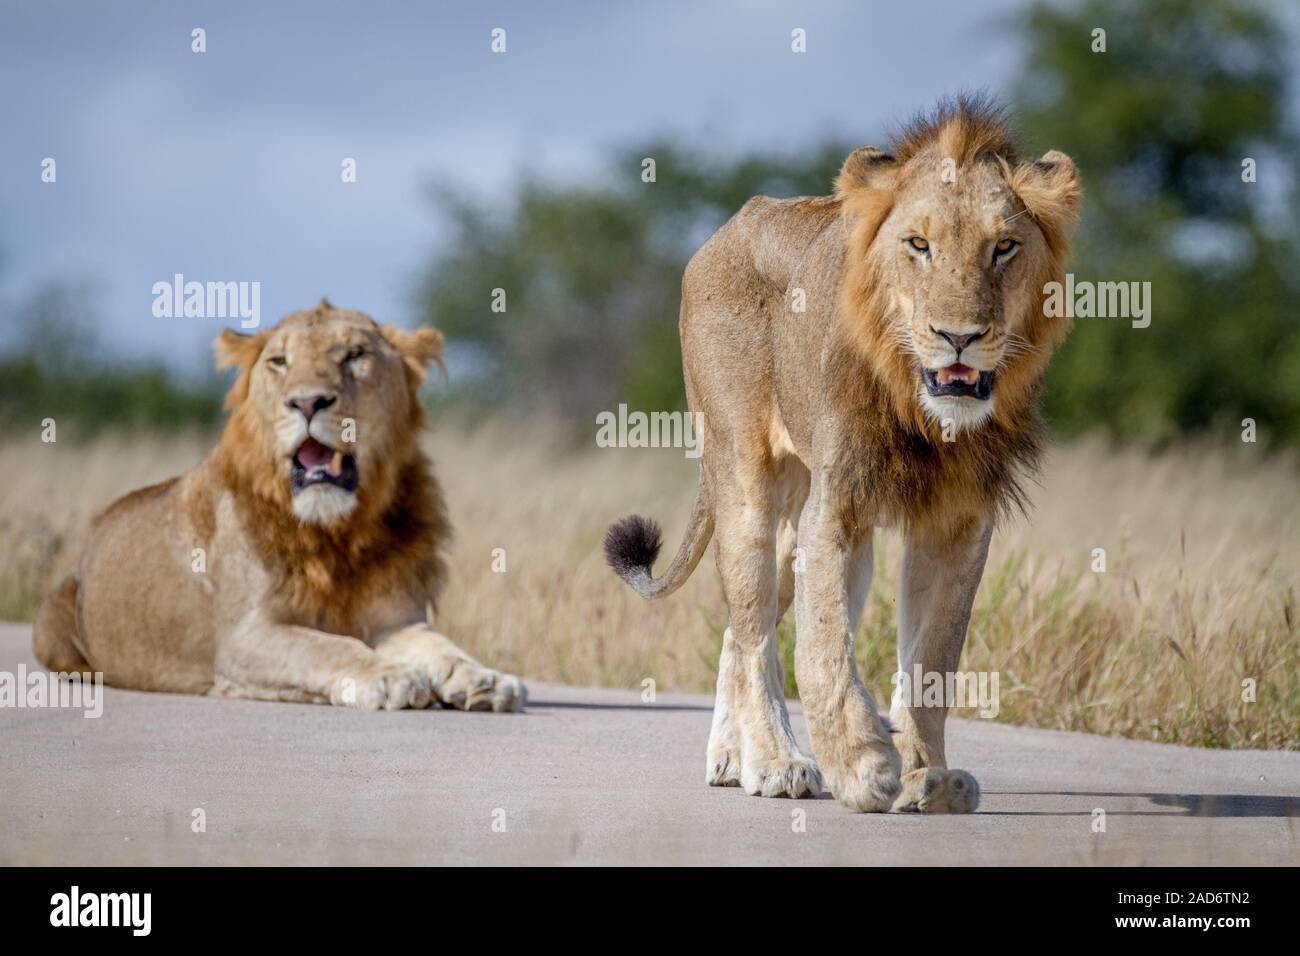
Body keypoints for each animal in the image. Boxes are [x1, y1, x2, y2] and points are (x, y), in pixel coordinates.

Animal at [32, 303, 525, 712]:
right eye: (279, 362)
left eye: (355, 354)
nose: (307, 402)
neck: (339, 530)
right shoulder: (243, 637)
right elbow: (326, 646)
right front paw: (387, 677)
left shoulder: (396, 618)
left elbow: (442, 647)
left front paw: (484, 679)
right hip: (52, 624)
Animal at [603, 98, 1081, 816]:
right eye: (919, 245)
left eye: (1004, 247)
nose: (959, 337)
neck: (925, 417)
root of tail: (728, 227)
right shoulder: (837, 508)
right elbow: (824, 646)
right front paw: (863, 765)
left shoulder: (959, 524)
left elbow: (934, 656)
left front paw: (928, 774)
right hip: (746, 480)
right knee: (754, 630)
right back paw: (776, 762)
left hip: (794, 518)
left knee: (742, 627)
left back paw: (733, 756)